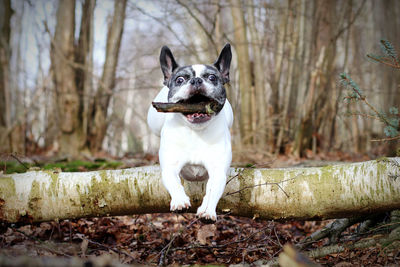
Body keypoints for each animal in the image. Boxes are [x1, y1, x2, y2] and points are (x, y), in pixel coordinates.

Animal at [147, 43, 233, 221]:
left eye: (212, 78)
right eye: (180, 80)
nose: (196, 80)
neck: (195, 131)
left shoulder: (218, 171)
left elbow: (213, 191)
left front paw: (207, 211)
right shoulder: (170, 167)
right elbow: (174, 182)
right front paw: (179, 201)